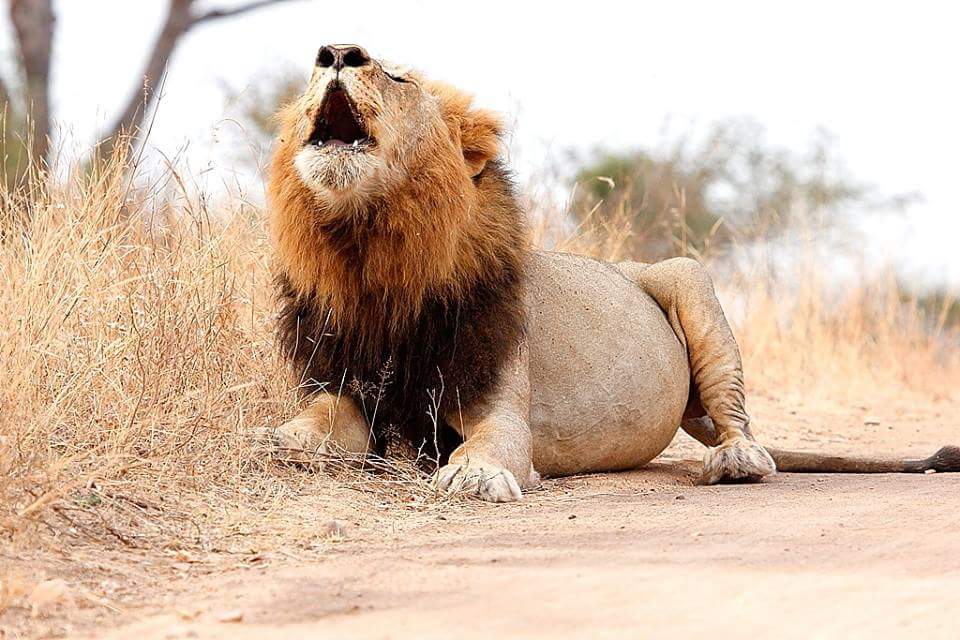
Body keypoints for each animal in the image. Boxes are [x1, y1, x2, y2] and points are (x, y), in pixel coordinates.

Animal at [261, 44, 960, 502]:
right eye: (320, 66)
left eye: (397, 76)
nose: (336, 52)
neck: (375, 262)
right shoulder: (349, 385)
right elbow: (312, 427)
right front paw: (278, 437)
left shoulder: (501, 404)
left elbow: (489, 444)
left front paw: (473, 472)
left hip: (688, 276)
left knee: (738, 420)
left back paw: (737, 459)